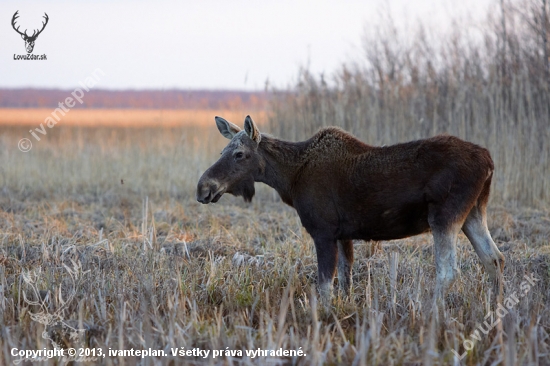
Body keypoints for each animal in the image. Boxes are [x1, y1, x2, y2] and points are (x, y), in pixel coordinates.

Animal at [196, 116, 506, 304]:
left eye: (239, 154)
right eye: (223, 151)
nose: (203, 188)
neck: (290, 179)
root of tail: (490, 161)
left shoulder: (322, 230)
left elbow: (324, 285)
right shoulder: (343, 233)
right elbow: (345, 279)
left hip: (444, 215)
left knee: (448, 270)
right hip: (473, 213)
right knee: (494, 258)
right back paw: (495, 310)